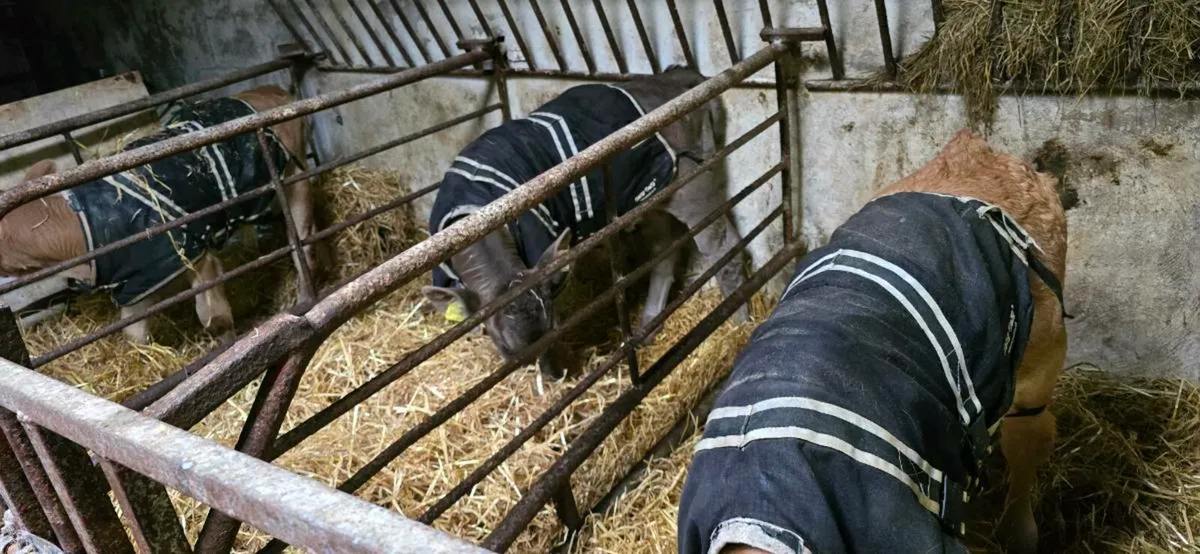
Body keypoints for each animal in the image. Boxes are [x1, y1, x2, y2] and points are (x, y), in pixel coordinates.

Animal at [0, 85, 314, 344]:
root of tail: (270, 90)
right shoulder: (135, 280)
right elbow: (133, 332)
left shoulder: (193, 254)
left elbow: (214, 317)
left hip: (295, 177)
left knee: (303, 239)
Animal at [421, 67, 746, 378]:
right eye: (506, 350)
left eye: (555, 326)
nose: (555, 377)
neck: (475, 210)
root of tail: (681, 75)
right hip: (652, 195)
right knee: (663, 252)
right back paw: (649, 325)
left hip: (693, 182)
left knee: (724, 247)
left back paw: (739, 322)